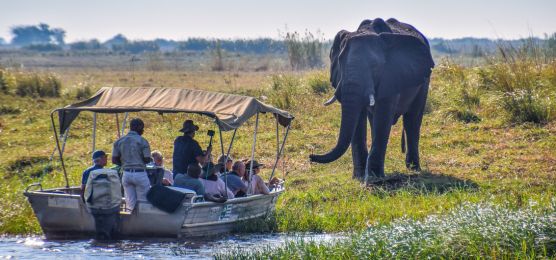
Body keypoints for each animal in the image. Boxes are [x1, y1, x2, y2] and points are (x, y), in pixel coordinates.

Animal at [308, 18, 434, 182]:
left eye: (375, 66)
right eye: (340, 63)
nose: (310, 156)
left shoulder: (390, 75)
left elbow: (383, 115)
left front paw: (374, 179)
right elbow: (359, 118)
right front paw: (360, 176)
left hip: (424, 80)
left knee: (412, 119)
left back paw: (413, 169)